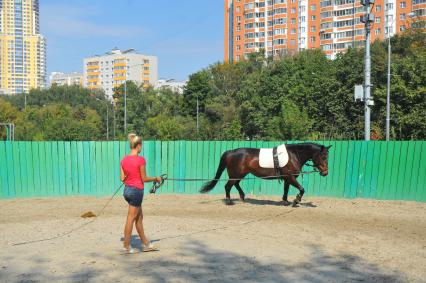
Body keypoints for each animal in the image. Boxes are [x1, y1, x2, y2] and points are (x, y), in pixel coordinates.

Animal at [201, 144, 332, 206]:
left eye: (327, 156)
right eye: (323, 156)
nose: (325, 173)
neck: (293, 155)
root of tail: (230, 152)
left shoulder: (287, 178)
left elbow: (286, 190)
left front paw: (285, 201)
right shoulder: (290, 177)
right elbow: (302, 189)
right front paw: (296, 200)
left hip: (240, 174)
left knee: (236, 184)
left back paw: (242, 197)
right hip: (235, 174)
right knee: (228, 186)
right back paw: (229, 202)